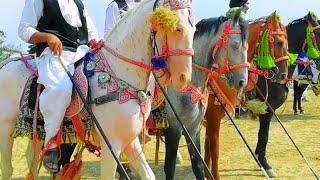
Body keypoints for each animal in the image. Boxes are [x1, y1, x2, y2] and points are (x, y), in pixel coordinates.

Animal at [0, 0, 195, 179]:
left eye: (193, 31)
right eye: (178, 29)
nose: (183, 78)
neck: (117, 72)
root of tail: (6, 63)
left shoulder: (130, 141)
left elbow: (148, 175)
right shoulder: (112, 145)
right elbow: (26, 27)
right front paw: (54, 41)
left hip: (35, 134)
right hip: (6, 130)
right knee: (8, 169)